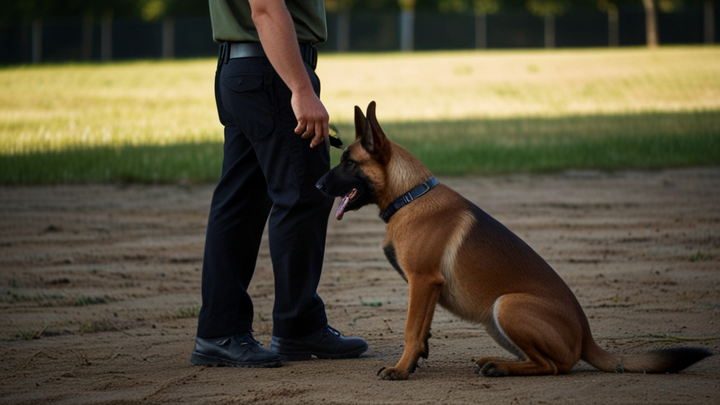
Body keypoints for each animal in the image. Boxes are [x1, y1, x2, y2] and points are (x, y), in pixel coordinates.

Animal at [316, 101, 716, 378]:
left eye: (349, 163)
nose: (318, 185)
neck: (410, 195)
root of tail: (586, 335)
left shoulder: (422, 281)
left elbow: (411, 330)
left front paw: (400, 369)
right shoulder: (425, 288)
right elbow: (422, 330)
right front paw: (413, 363)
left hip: (506, 305)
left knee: (555, 366)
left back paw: (500, 367)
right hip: (497, 319)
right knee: (546, 361)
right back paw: (496, 362)